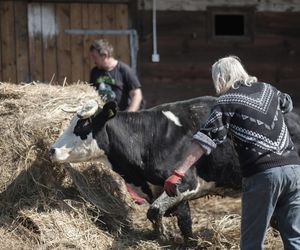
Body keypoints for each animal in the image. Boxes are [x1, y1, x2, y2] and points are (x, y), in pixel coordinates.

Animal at [49, 96, 300, 242]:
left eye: (82, 125)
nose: (52, 150)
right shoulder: (165, 190)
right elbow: (183, 221)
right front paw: (186, 242)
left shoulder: (186, 183)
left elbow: (154, 212)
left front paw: (163, 236)